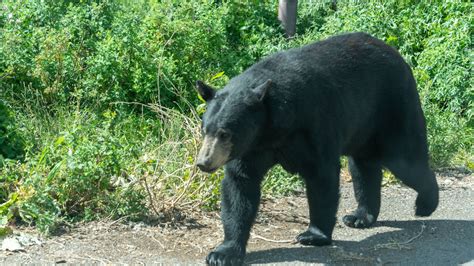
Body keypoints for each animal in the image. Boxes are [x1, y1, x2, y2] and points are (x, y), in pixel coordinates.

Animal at [194, 32, 438, 264]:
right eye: (205, 129)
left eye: (225, 133)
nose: (204, 162)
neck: (272, 127)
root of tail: (395, 53)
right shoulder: (251, 148)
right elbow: (240, 186)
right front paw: (223, 252)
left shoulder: (313, 123)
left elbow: (321, 175)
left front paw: (314, 235)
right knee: (363, 167)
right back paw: (360, 216)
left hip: (393, 107)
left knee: (406, 160)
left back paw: (426, 204)